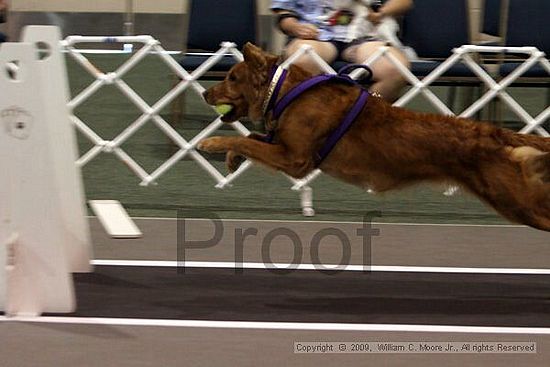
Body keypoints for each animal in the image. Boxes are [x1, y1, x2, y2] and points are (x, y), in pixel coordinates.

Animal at [201, 43, 550, 231]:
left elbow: (244, 138)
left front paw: (211, 143)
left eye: (232, 78)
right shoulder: (285, 147)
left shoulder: (295, 159)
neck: (285, 92)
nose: (205, 93)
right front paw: (231, 159)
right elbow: (253, 137)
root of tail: (492, 131)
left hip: (513, 200)